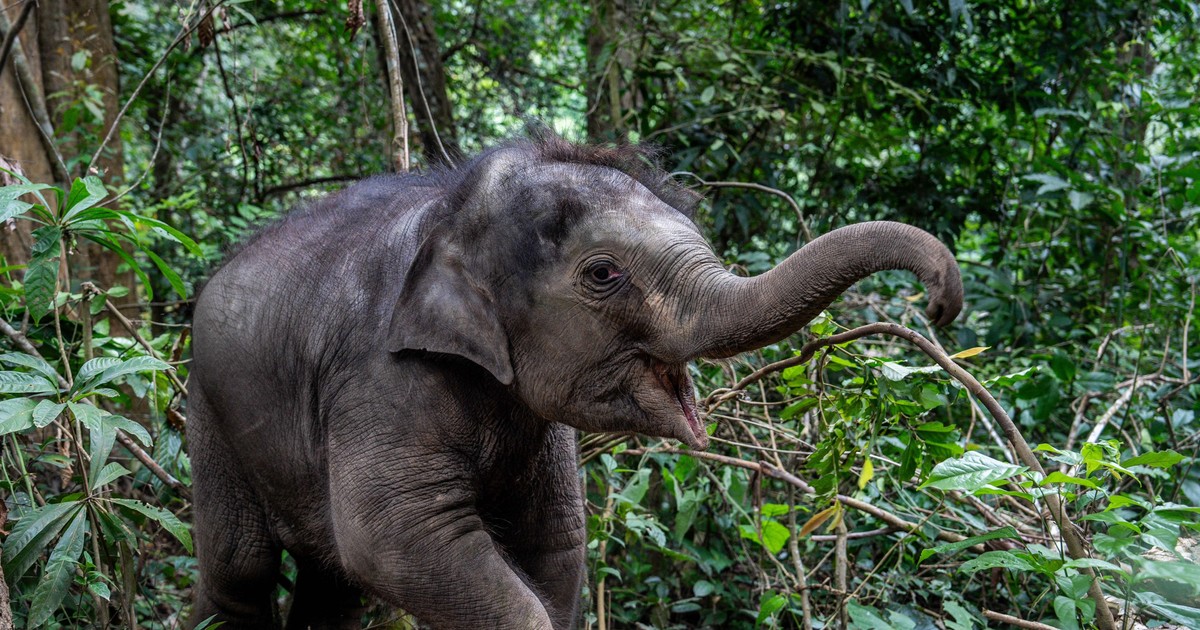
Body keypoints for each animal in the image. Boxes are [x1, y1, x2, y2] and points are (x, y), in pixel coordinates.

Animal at [187, 134, 963, 629]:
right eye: (603, 273)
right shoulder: (379, 378)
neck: (450, 213)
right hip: (208, 407)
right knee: (241, 571)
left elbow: (556, 542)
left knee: (331, 587)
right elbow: (393, 536)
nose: (938, 302)